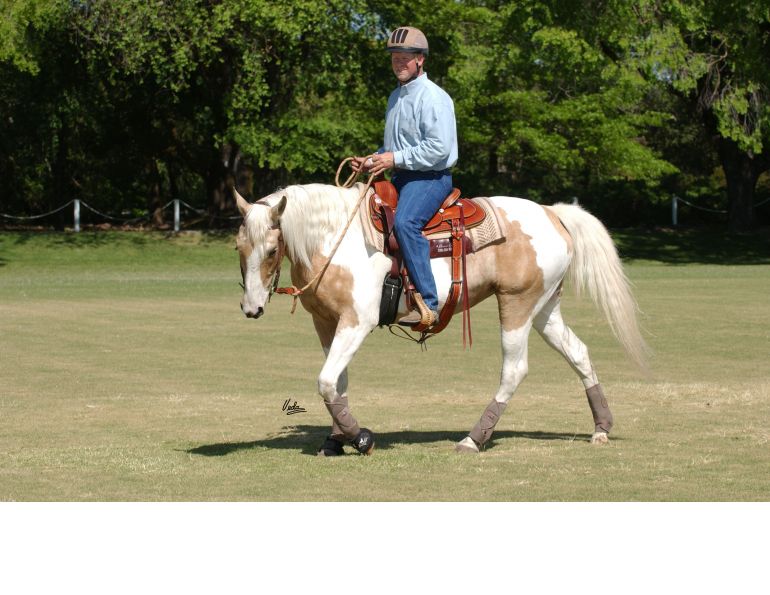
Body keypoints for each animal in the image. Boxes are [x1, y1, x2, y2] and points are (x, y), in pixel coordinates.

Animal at [234, 181, 647, 455]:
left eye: (271, 250)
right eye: (239, 247)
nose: (251, 308)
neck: (336, 239)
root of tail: (552, 213)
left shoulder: (357, 321)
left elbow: (324, 381)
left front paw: (360, 437)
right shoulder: (326, 323)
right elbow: (338, 383)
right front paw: (336, 439)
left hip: (516, 304)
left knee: (514, 370)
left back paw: (473, 438)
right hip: (545, 308)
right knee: (578, 352)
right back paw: (601, 427)